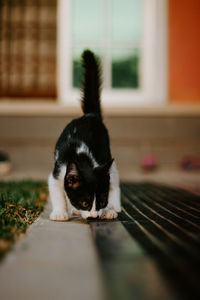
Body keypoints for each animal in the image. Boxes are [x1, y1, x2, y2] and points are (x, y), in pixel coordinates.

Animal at [48, 49, 120, 220]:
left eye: (101, 202)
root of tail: (90, 115)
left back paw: (114, 208)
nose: (94, 216)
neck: (80, 156)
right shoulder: (56, 174)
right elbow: (57, 192)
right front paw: (60, 212)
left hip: (108, 159)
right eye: (85, 203)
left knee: (114, 180)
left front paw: (107, 209)